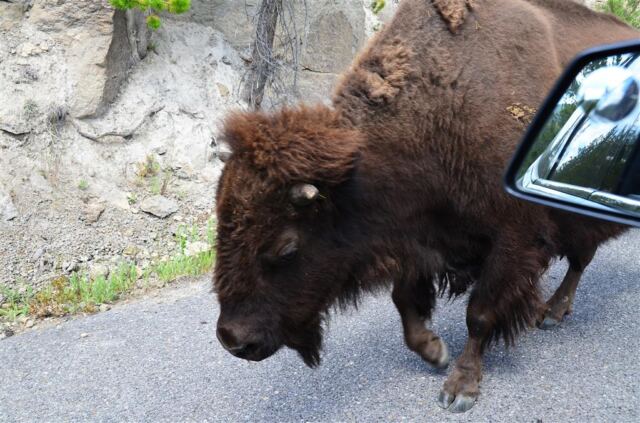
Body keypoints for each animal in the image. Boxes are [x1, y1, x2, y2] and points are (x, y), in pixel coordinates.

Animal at [213, 0, 637, 413]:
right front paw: (434, 352)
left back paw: (551, 311)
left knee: (580, 259)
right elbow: (404, 301)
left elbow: (479, 313)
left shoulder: (511, 238)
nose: (232, 339)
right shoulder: (417, 236)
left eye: (285, 248)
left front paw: (460, 388)